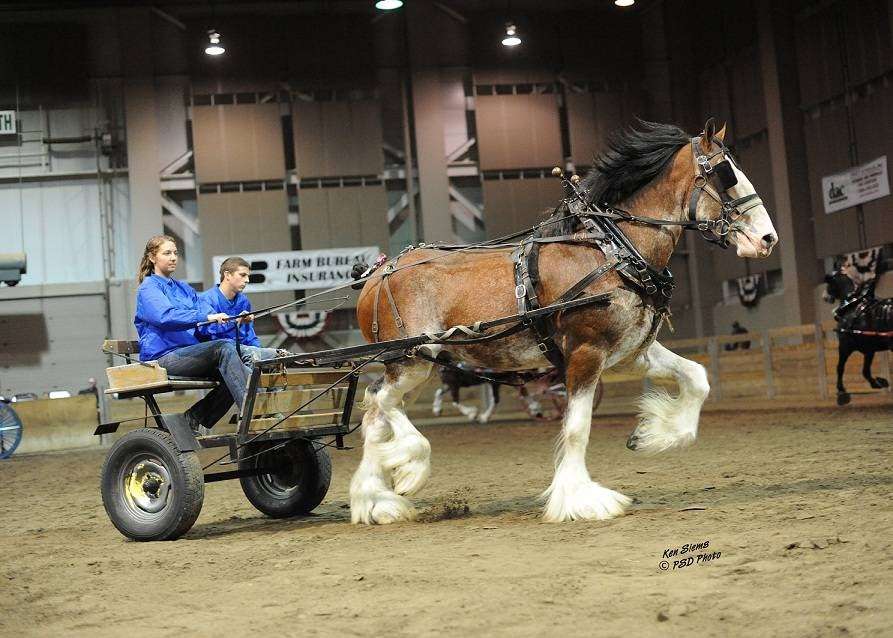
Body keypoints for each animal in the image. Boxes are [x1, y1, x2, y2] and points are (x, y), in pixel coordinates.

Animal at [348, 119, 772, 524]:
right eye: (725, 174)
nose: (768, 238)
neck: (614, 252)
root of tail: (377, 273)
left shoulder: (631, 353)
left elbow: (698, 378)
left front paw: (651, 435)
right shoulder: (586, 352)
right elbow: (577, 428)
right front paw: (581, 499)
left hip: (417, 365)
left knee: (376, 413)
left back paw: (376, 501)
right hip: (410, 362)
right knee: (380, 403)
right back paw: (409, 469)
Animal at [824, 270, 892, 404]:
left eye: (829, 283)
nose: (825, 297)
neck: (852, 305)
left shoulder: (844, 346)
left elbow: (840, 367)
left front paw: (840, 389)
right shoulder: (869, 350)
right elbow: (865, 370)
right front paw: (879, 382)